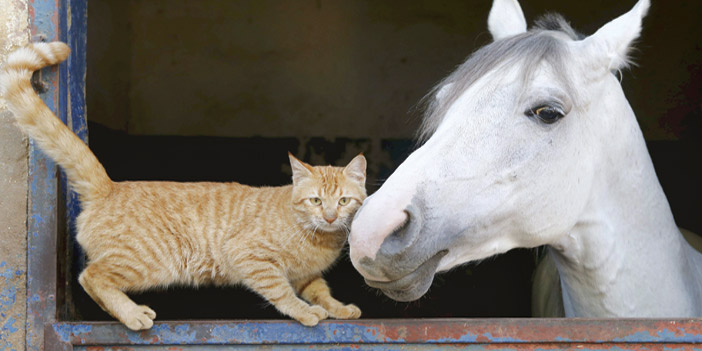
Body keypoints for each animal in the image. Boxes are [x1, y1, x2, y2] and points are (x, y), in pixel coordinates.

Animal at [1, 41, 368, 330]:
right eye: (316, 201)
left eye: (344, 201)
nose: (331, 217)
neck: (320, 238)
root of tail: (110, 185)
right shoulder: (250, 256)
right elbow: (281, 291)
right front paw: (305, 312)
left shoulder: (307, 275)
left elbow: (321, 292)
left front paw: (337, 309)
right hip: (148, 261)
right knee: (91, 277)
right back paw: (132, 314)